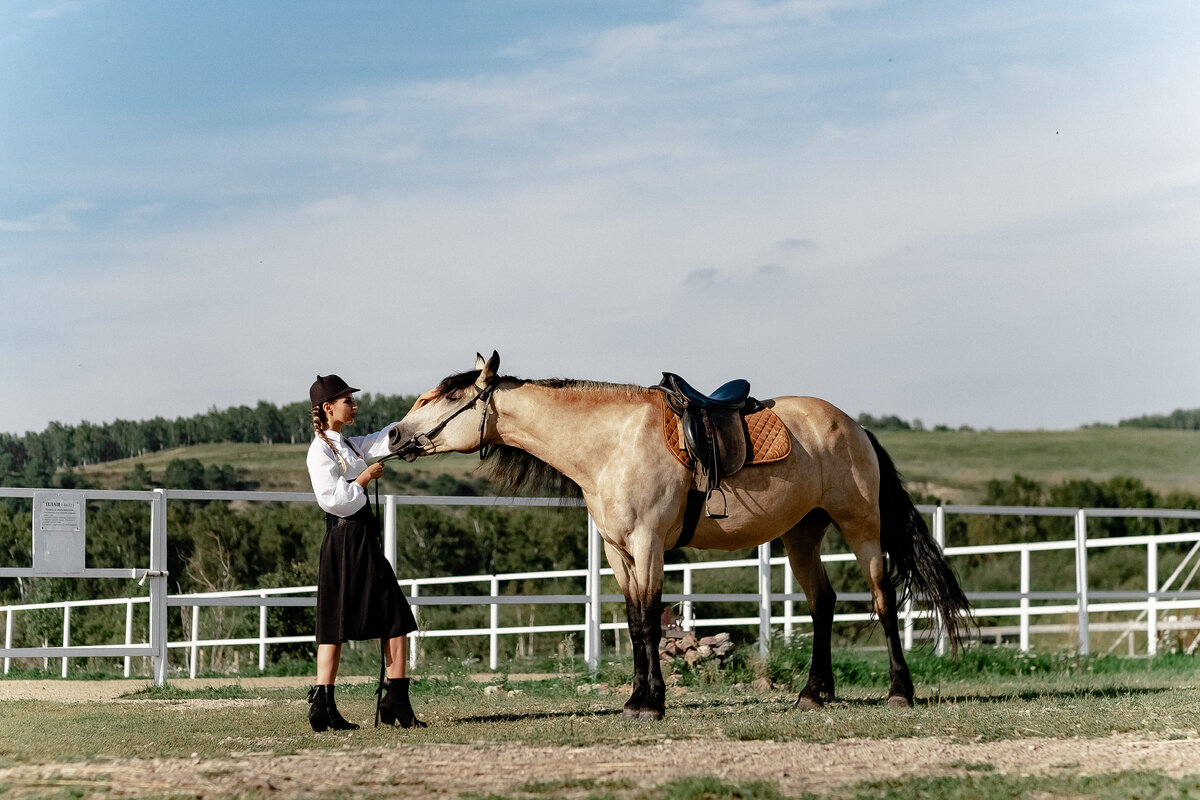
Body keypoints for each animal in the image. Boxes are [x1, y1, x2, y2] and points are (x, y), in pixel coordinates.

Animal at [388, 350, 969, 719]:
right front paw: (635, 700)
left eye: (446, 399)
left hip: (861, 528)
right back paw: (813, 694)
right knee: (821, 604)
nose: (392, 435)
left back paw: (900, 692)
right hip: (802, 534)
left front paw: (650, 703)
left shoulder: (648, 545)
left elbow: (648, 622)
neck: (611, 443)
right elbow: (632, 623)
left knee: (883, 603)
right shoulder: (618, 552)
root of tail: (854, 426)